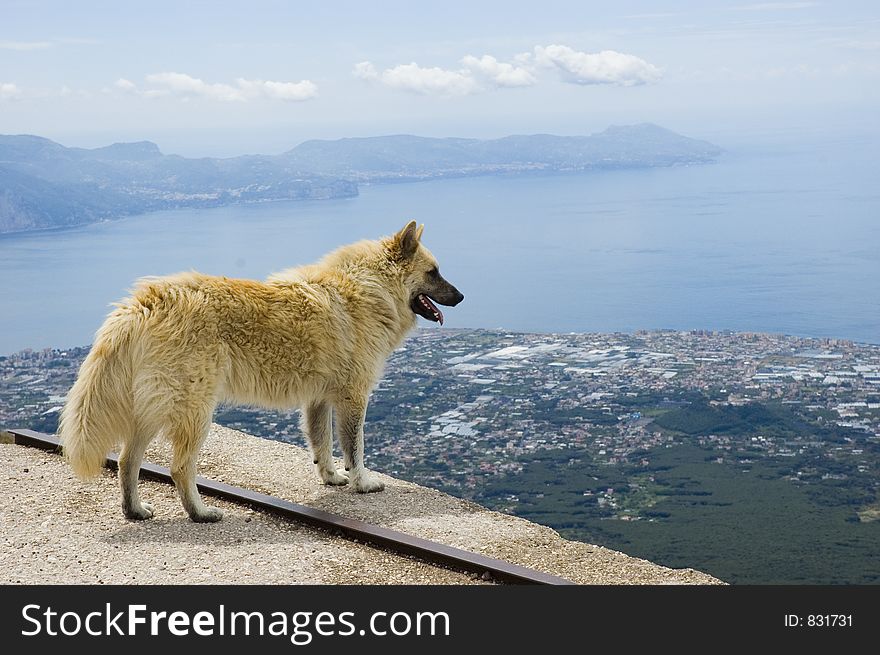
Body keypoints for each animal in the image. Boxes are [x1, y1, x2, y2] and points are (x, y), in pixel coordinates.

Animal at [59, 223, 464, 524]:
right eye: (433, 272)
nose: (461, 297)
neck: (368, 288)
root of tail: (144, 303)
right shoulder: (353, 396)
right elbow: (354, 447)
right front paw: (361, 482)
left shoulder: (318, 400)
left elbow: (322, 445)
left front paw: (332, 477)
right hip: (194, 412)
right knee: (179, 468)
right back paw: (199, 512)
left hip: (152, 410)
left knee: (128, 461)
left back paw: (134, 510)